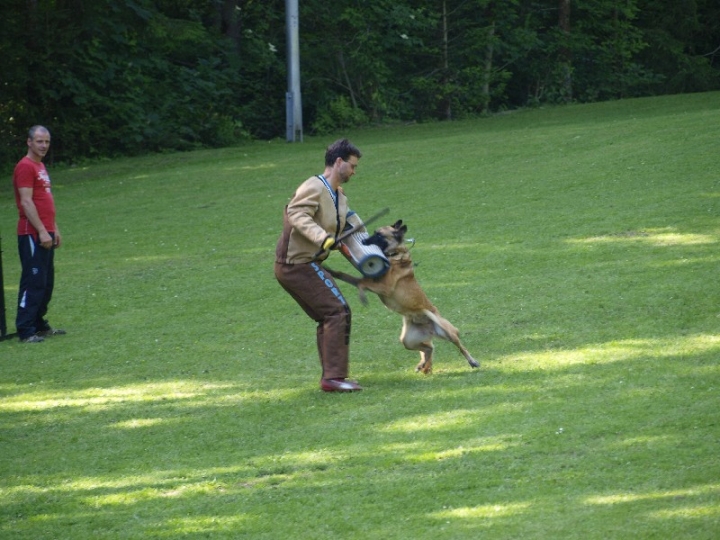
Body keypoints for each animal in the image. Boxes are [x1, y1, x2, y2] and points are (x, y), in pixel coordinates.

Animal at [326, 219, 478, 376]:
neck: (394, 256)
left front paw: (362, 297)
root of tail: (429, 329)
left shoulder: (385, 287)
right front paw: (329, 270)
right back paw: (423, 365)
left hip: (445, 329)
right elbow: (348, 276)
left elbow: (362, 283)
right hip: (407, 340)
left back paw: (472, 361)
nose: (363, 240)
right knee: (429, 348)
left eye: (379, 235)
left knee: (458, 345)